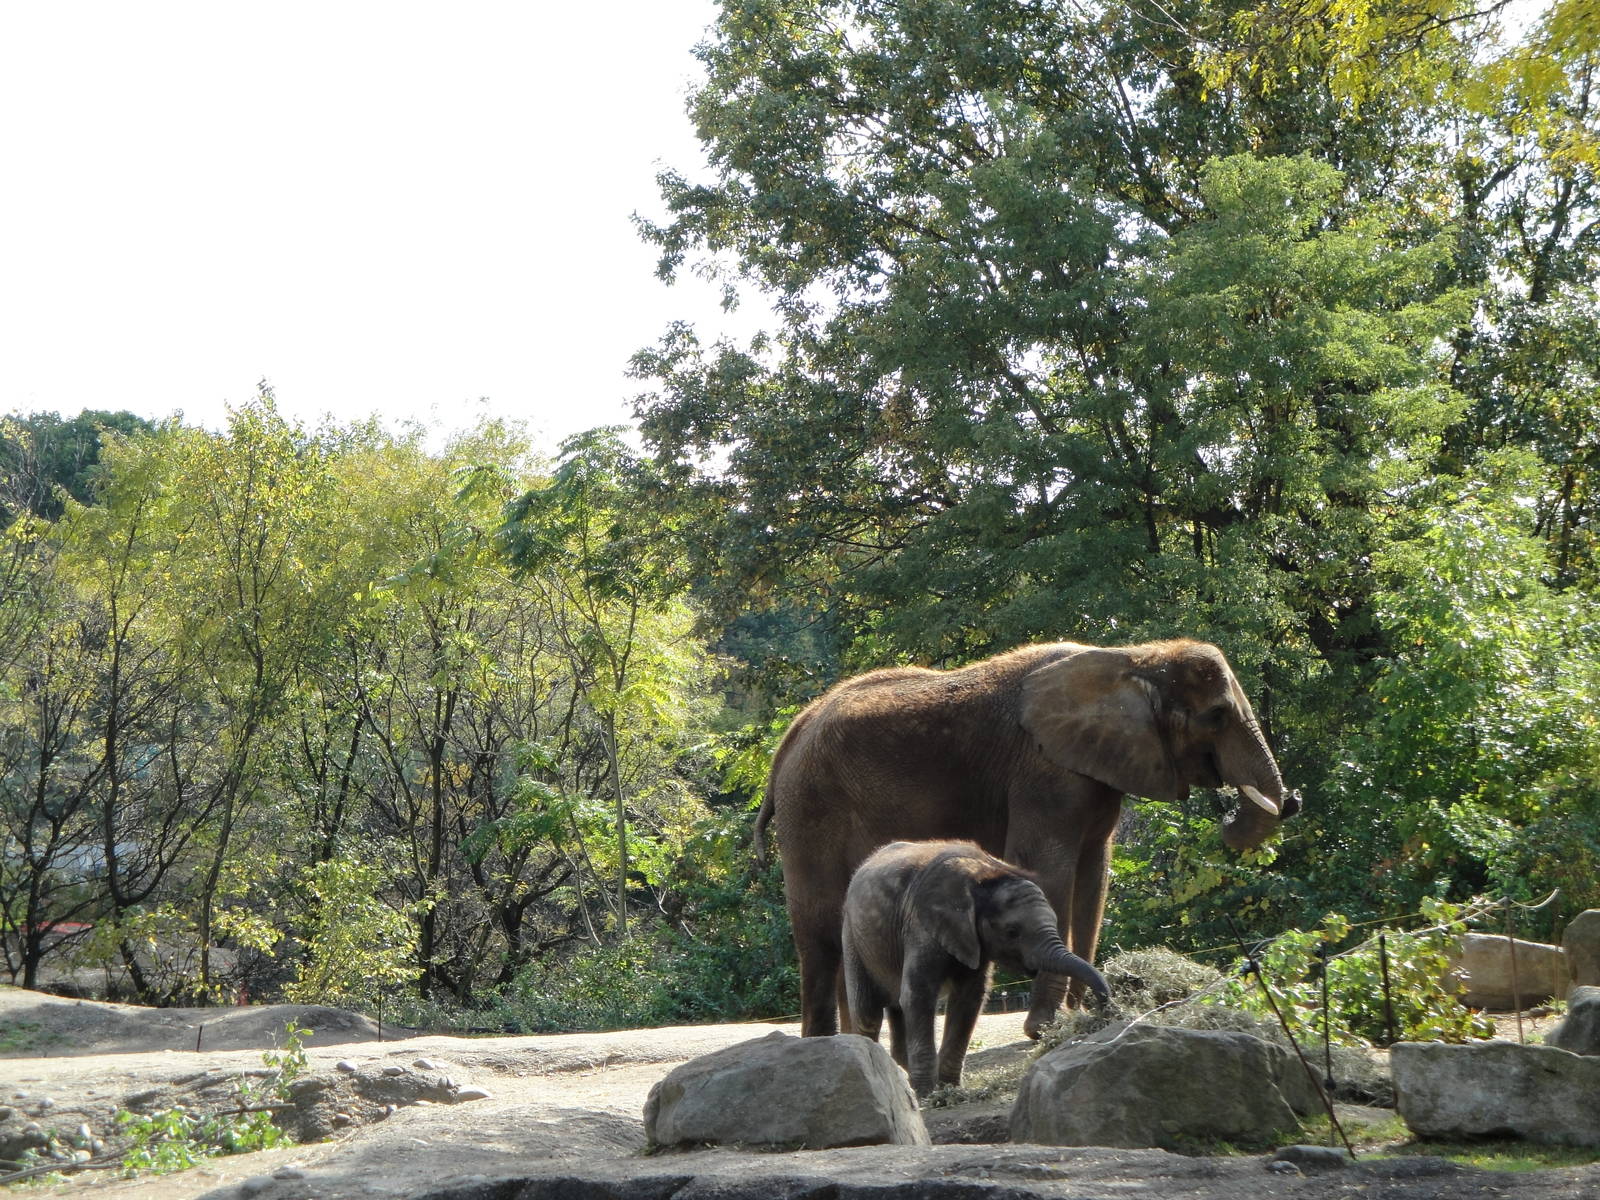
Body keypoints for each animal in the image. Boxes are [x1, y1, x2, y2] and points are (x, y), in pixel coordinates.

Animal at [754, 638, 1297, 1040]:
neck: (1132, 657)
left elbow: (1093, 879)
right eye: (1216, 716)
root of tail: (793, 735)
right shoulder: (1044, 772)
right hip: (812, 808)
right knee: (820, 929)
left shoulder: (1093, 767)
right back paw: (827, 1047)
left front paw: (1081, 1020)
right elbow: (1047, 868)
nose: (1288, 802)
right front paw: (1044, 1029)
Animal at [842, 839, 1110, 1096]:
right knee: (868, 1011)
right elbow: (919, 994)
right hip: (852, 936)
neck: (985, 875)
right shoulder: (921, 926)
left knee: (896, 1008)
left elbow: (969, 998)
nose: (1103, 1009)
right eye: (1012, 932)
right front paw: (927, 1094)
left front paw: (949, 1089)